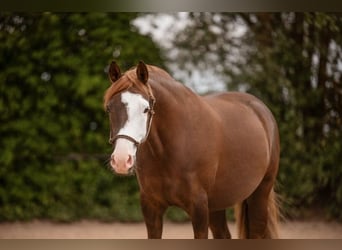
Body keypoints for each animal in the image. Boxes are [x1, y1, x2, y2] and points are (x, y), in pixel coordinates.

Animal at [103, 61, 280, 239]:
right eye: (109, 108)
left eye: (145, 109)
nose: (121, 160)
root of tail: (261, 109)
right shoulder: (151, 207)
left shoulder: (199, 208)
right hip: (217, 203)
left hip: (260, 193)